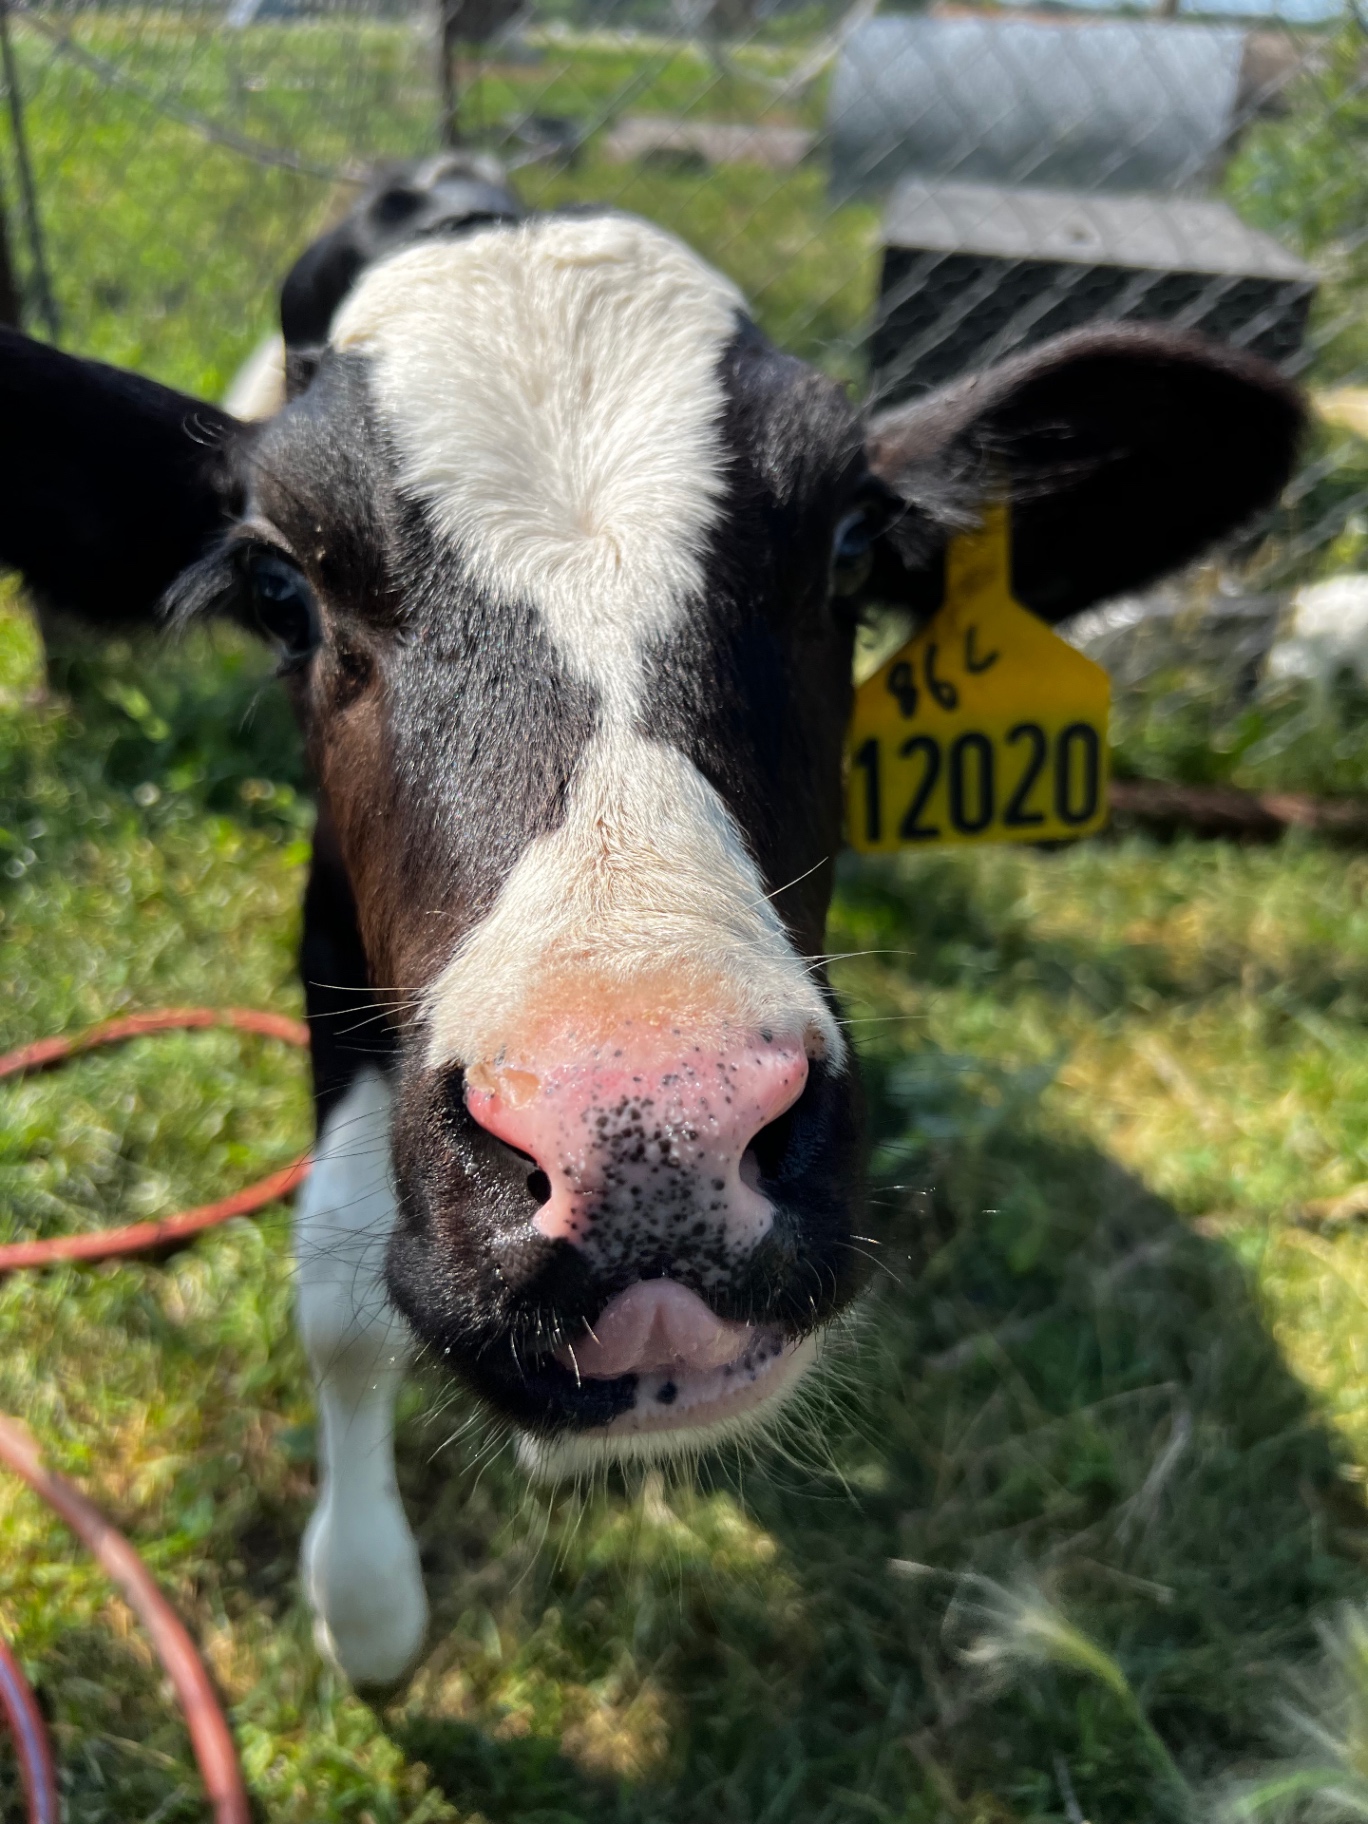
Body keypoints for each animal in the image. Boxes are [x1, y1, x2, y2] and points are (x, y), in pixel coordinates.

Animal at [0, 158, 1304, 1687]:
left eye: (849, 549)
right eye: (281, 589)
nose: (650, 1145)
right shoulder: (329, 952)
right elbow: (333, 1289)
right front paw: (365, 1603)